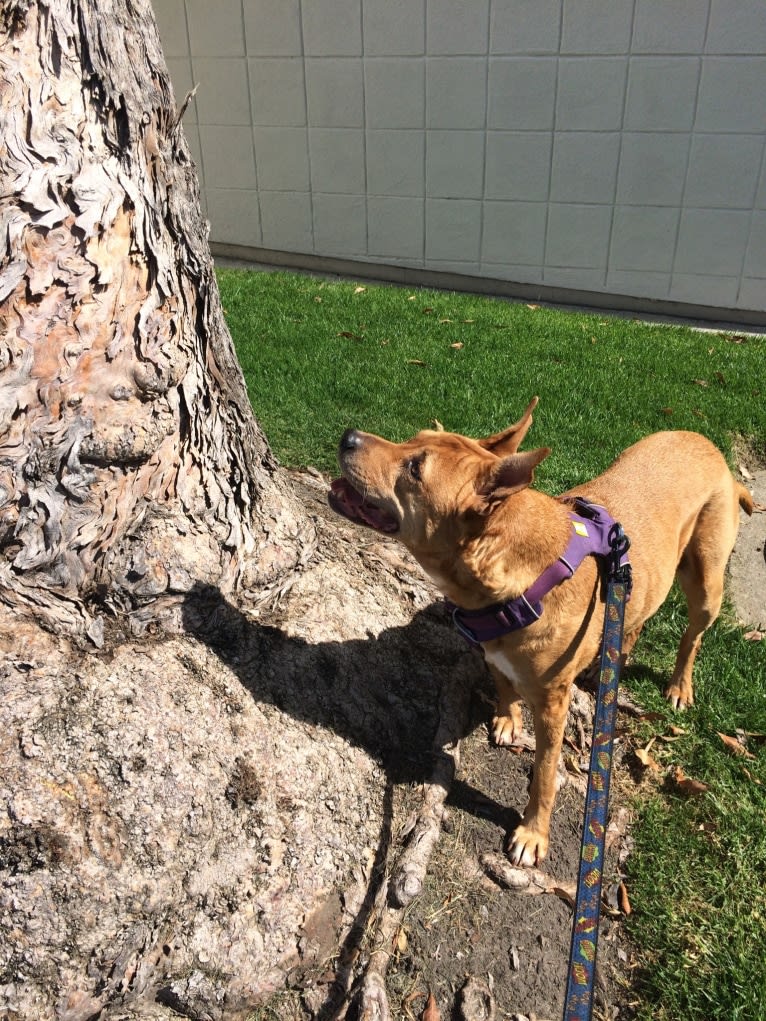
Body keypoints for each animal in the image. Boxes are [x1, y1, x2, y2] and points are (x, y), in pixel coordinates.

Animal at [326, 398, 751, 869]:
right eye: (414, 438)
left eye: (416, 468)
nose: (348, 436)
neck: (513, 574)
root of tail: (714, 451)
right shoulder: (492, 649)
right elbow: (502, 683)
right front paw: (508, 719)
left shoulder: (552, 705)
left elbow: (546, 773)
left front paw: (533, 833)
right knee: (636, 616)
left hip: (707, 582)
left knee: (692, 636)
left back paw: (678, 685)